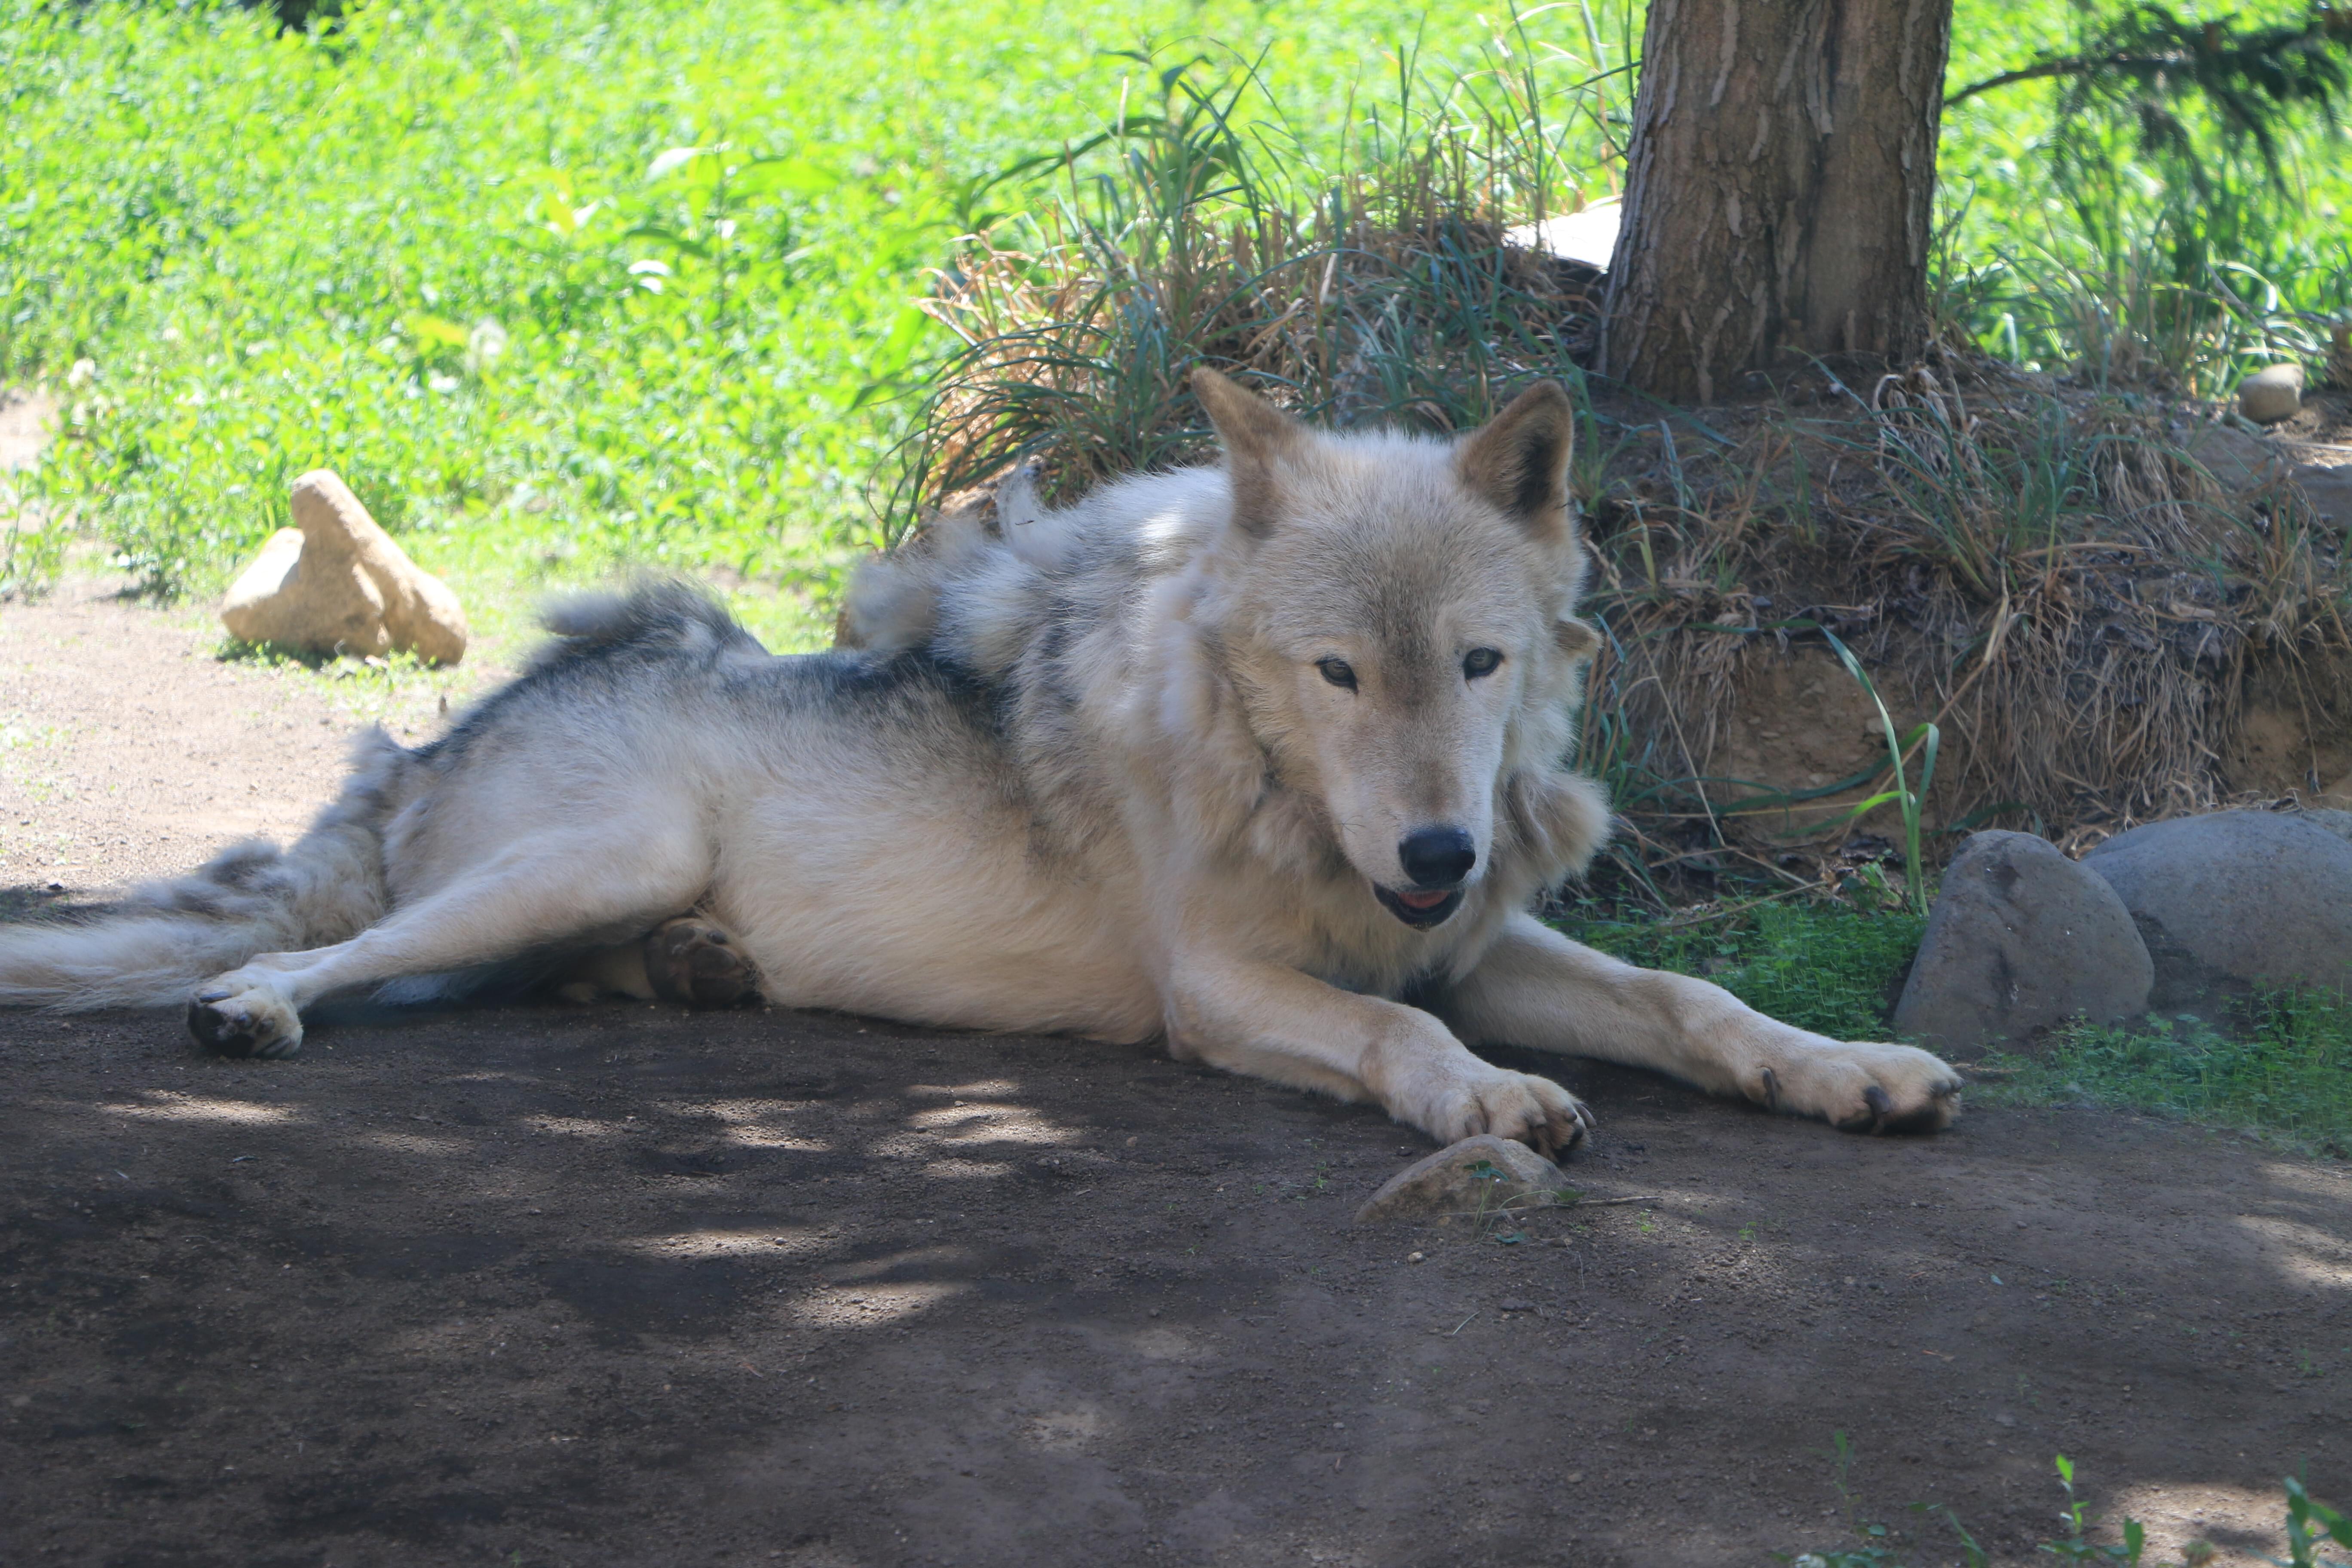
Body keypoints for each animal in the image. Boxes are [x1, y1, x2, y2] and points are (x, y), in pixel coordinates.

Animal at [0, 371, 1957, 1152]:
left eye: (1476, 666)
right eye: (1335, 674)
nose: (1434, 856)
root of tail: (420, 751)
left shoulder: (1480, 940)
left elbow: (1694, 1001)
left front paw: (1846, 1068)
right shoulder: (1220, 990)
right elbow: (1406, 1039)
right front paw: (1483, 1101)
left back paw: (698, 974)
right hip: (587, 860)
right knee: (329, 951)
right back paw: (250, 1009)